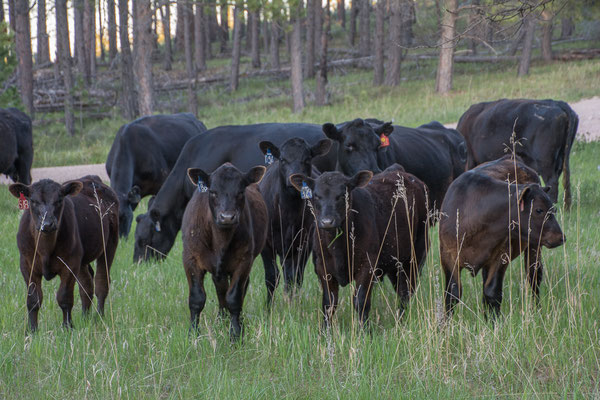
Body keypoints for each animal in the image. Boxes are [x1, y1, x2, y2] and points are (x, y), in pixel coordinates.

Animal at [180, 162, 268, 338]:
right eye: (213, 191)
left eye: (241, 192)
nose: (227, 217)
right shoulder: (190, 259)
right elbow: (196, 298)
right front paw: (193, 333)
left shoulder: (244, 261)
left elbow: (234, 298)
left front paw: (236, 333)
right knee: (220, 289)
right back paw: (222, 318)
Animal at [258, 136, 332, 302]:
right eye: (282, 159)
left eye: (307, 159)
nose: (293, 179)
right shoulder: (266, 244)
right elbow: (271, 277)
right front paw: (269, 306)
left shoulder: (304, 243)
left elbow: (295, 278)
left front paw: (292, 304)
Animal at [290, 164, 426, 326]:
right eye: (316, 195)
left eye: (343, 195)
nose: (327, 221)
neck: (339, 248)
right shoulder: (322, 267)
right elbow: (329, 303)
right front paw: (325, 330)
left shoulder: (367, 266)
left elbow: (360, 301)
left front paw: (364, 329)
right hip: (395, 262)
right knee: (400, 289)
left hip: (416, 255)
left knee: (406, 292)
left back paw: (401, 321)